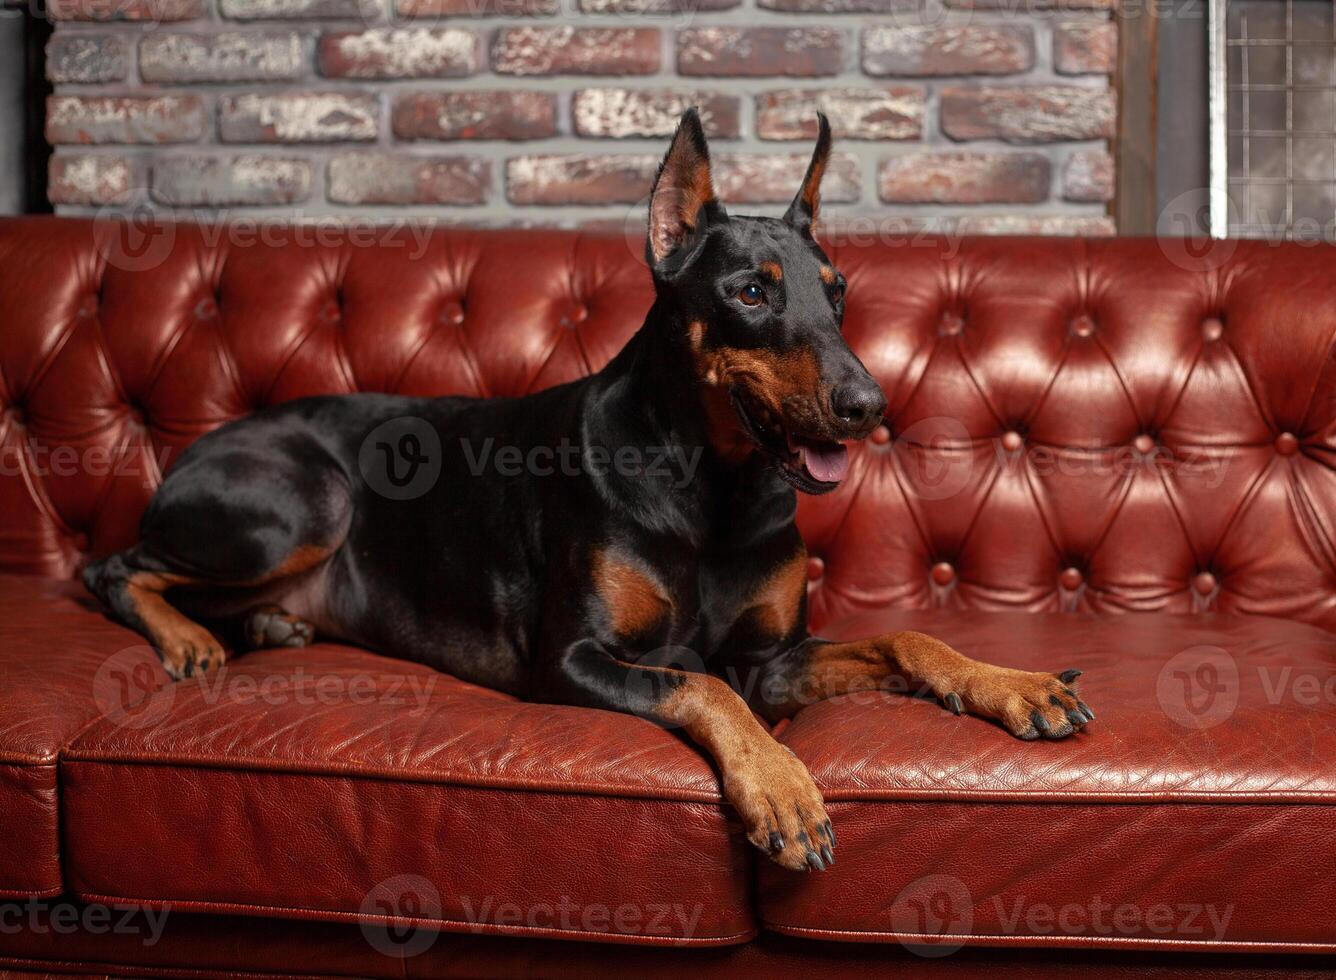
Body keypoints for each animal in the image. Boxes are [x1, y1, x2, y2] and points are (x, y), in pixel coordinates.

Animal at [83, 113, 1090, 875]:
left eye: (837, 293)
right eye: (751, 292)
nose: (868, 406)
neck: (710, 485)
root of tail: (199, 447)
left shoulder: (774, 659)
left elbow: (905, 638)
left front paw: (1013, 684)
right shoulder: (568, 662)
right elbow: (698, 684)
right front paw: (782, 788)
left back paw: (267, 625)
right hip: (305, 502)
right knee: (112, 568)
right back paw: (188, 639)